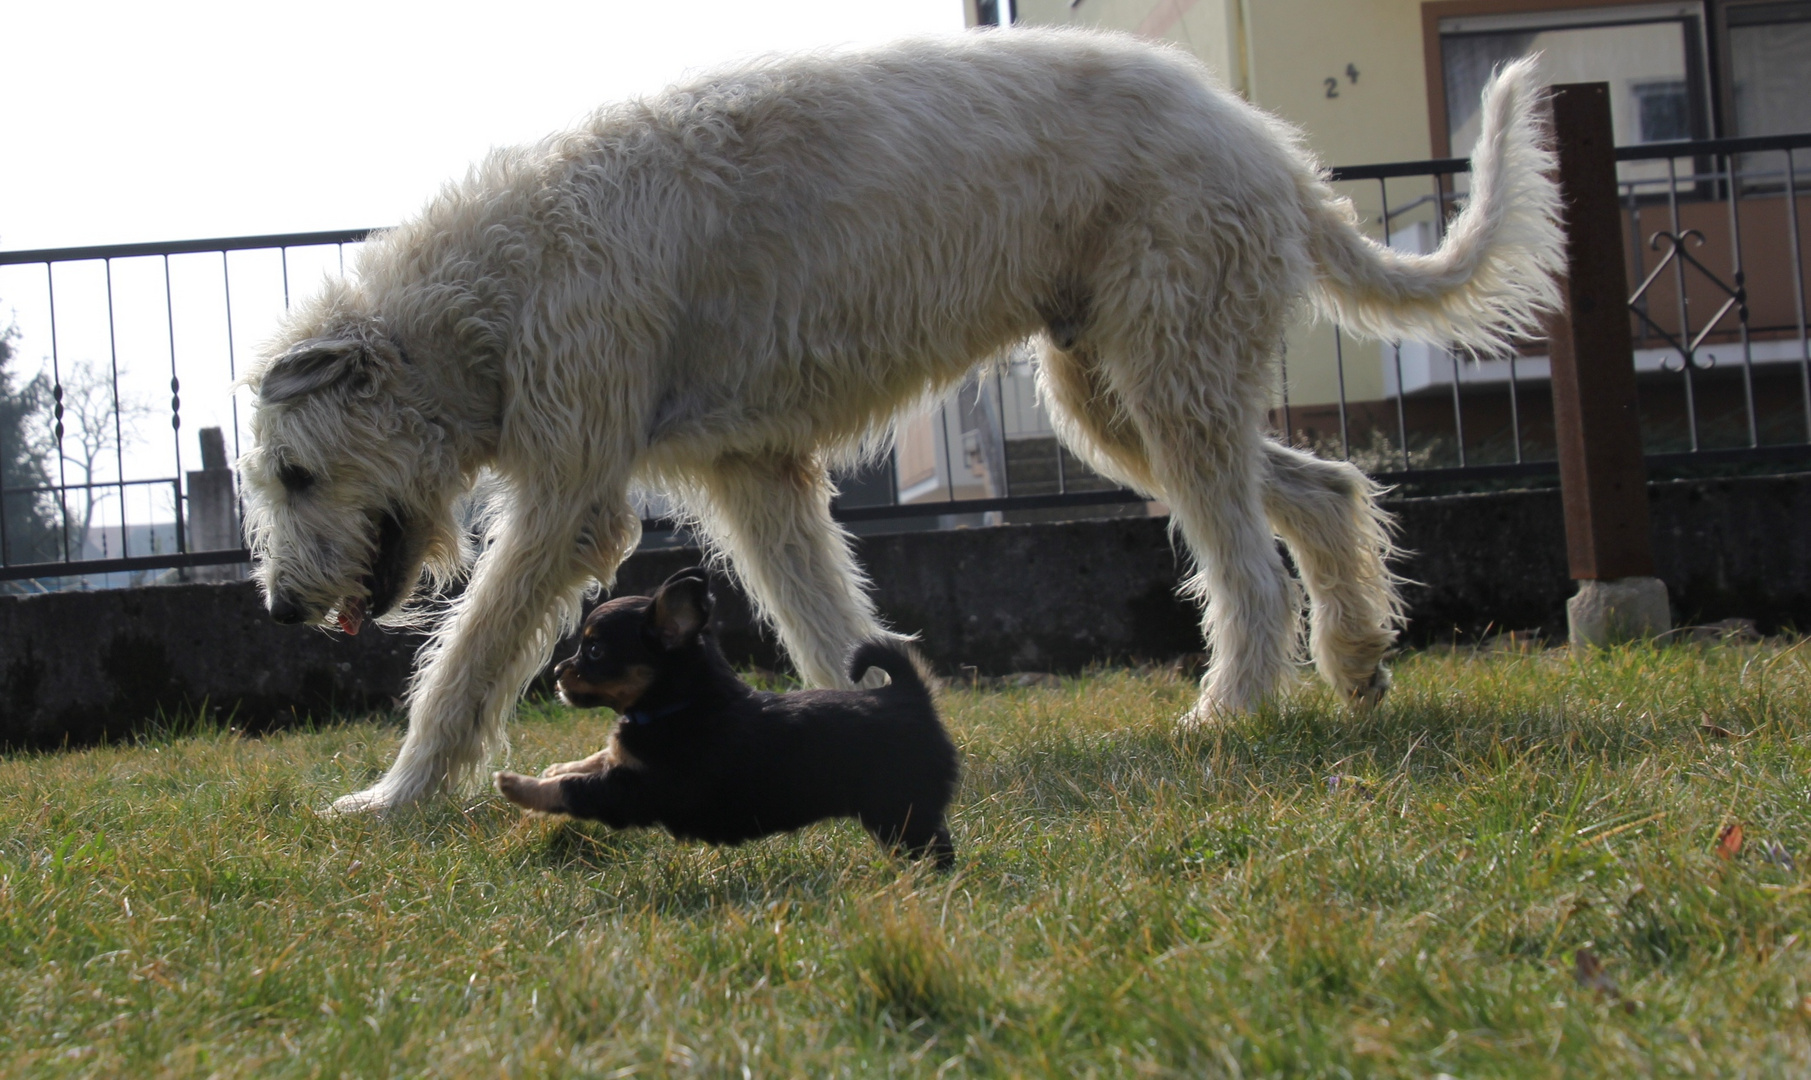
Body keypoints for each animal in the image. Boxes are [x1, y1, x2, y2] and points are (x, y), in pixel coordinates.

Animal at [240, 27, 1564, 811]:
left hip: (1169, 361)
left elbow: (468, 653)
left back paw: (1229, 708)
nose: (279, 610)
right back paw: (1353, 660)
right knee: (1317, 491)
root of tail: (1272, 150)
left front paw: (390, 798)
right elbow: (825, 618)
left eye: (293, 476)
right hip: (1122, 390)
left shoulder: (572, 483)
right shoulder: (752, 473)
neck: (496, 288)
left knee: (1244, 561)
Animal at [488, 565, 956, 869]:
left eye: (595, 650)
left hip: (901, 810)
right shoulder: (628, 764)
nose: (556, 672)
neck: (681, 704)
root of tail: (908, 695)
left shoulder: (637, 790)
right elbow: (593, 760)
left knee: (935, 850)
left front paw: (517, 785)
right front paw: (555, 767)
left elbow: (575, 789)